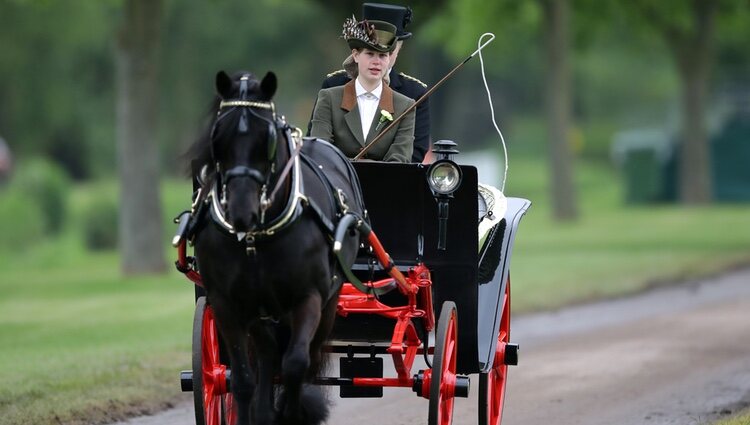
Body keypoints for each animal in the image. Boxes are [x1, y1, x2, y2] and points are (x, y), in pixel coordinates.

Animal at [187, 71, 366, 422]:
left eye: (266, 140)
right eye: (218, 136)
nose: (241, 211)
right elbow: (243, 378)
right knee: (267, 353)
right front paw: (256, 412)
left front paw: (293, 411)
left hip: (327, 302)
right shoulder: (227, 303)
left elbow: (296, 363)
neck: (258, 236)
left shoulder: (308, 298)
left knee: (304, 357)